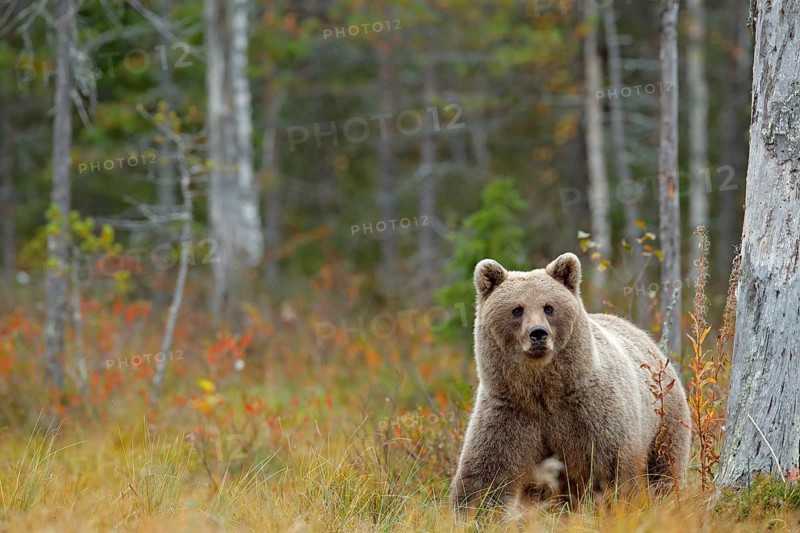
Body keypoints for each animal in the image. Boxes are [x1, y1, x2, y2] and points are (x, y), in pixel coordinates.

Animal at [451, 253, 691, 514]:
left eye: (548, 307)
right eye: (517, 309)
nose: (538, 333)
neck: (544, 390)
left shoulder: (593, 413)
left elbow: (614, 469)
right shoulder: (509, 411)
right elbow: (485, 475)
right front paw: (474, 510)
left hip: (664, 420)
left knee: (665, 470)